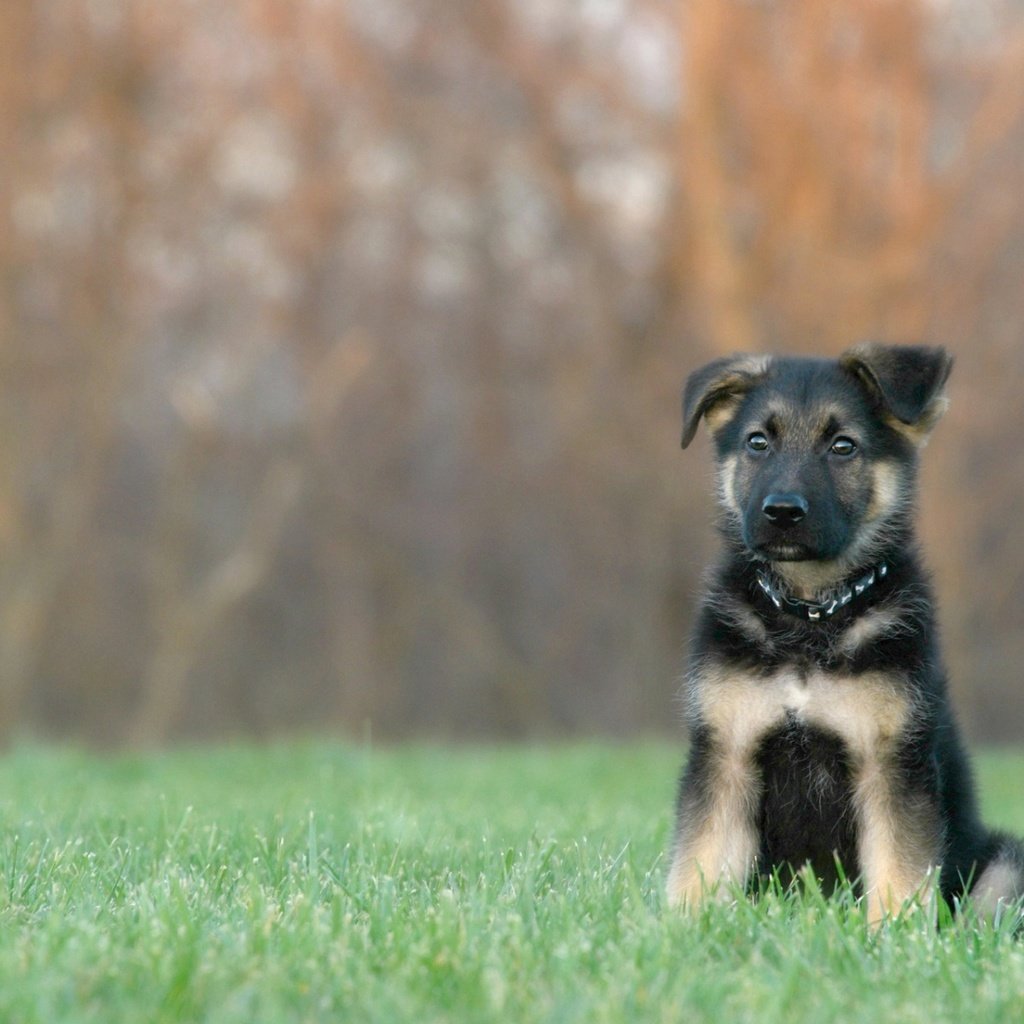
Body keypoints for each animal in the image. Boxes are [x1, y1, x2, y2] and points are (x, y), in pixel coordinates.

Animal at [663, 346, 1024, 929]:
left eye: (843, 446)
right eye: (757, 442)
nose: (782, 512)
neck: (810, 615)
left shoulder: (889, 762)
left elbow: (899, 871)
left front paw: (893, 938)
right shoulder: (727, 754)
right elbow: (703, 858)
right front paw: (684, 931)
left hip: (1004, 864)